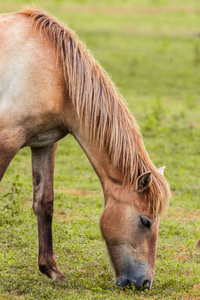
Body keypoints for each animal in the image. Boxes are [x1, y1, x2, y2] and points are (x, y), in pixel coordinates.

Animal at [0, 8, 170, 290]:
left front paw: (52, 270)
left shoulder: (44, 143)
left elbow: (44, 203)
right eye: (145, 221)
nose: (144, 283)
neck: (55, 71)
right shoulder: (7, 140)